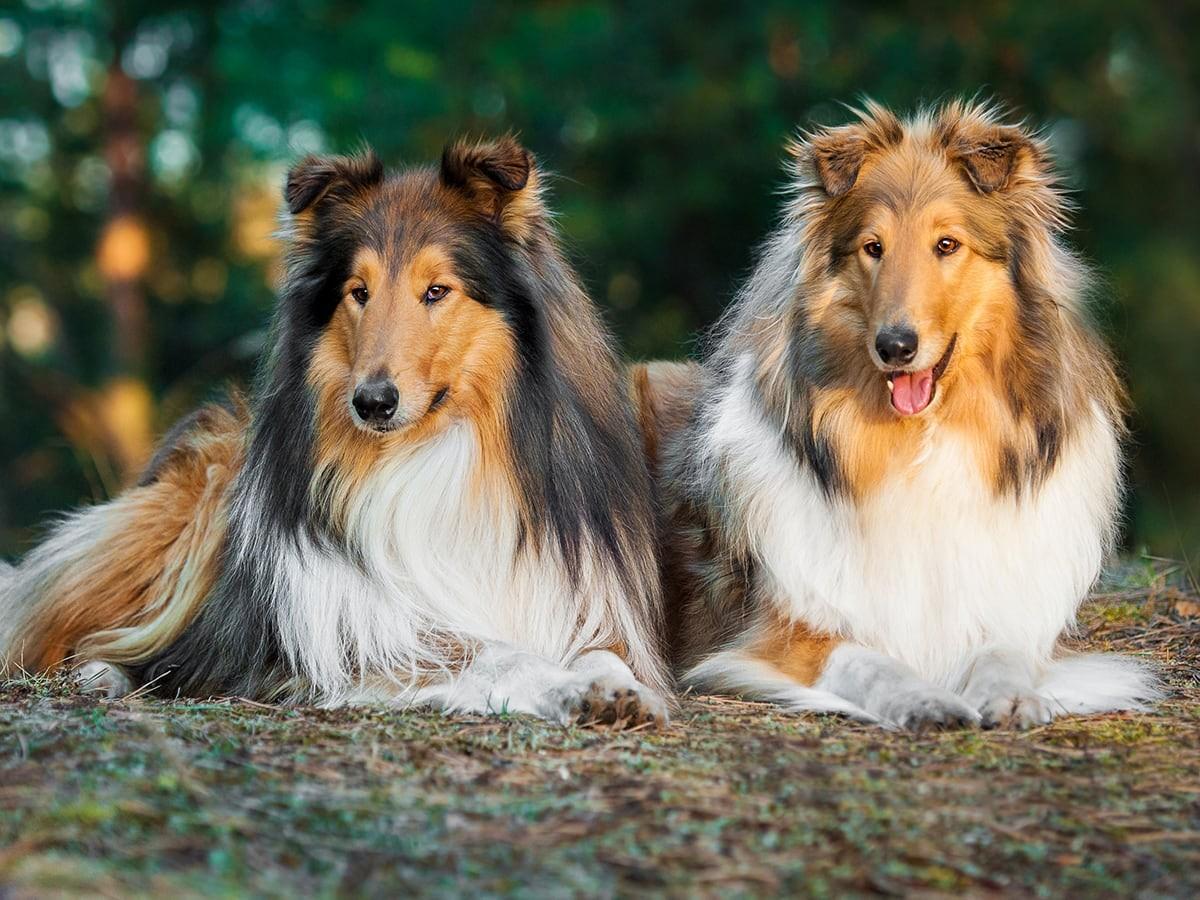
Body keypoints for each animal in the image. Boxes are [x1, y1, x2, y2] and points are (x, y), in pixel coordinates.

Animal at [0, 137, 667, 724]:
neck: (434, 456)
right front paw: (564, 687)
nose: (372, 403)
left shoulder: (579, 602)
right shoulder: (365, 637)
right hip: (177, 514)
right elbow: (495, 653)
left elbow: (603, 652)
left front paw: (616, 687)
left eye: (436, 291)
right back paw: (105, 671)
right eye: (359, 292)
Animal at [643, 100, 1156, 734]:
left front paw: (1011, 697)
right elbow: (867, 660)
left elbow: (1003, 652)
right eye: (873, 247)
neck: (918, 445)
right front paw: (925, 700)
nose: (895, 347)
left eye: (947, 244)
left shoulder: (1011, 614)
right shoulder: (780, 627)